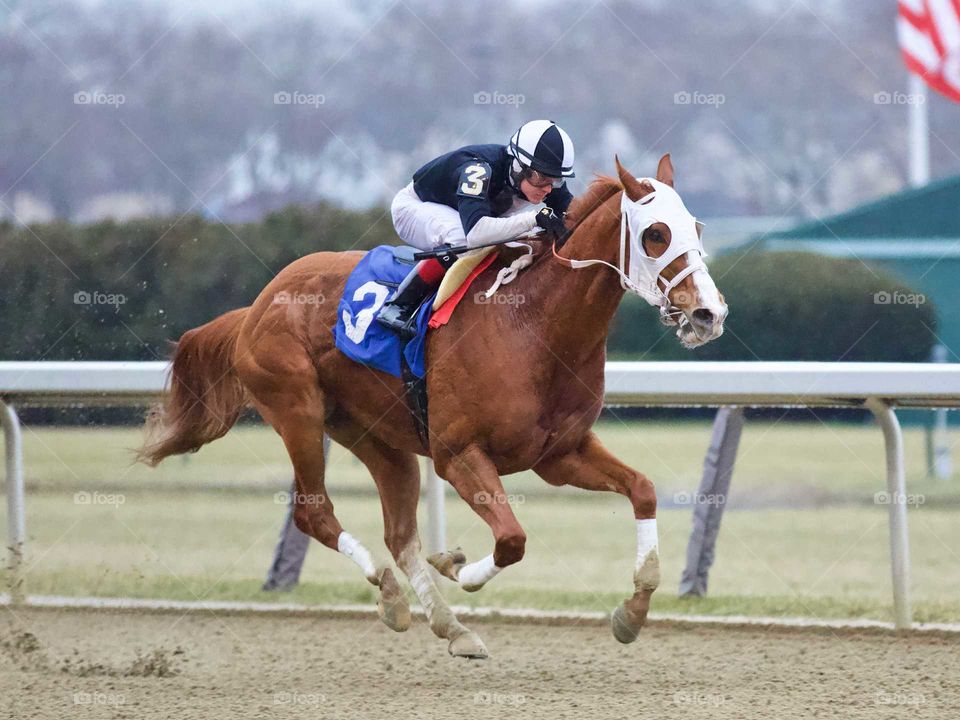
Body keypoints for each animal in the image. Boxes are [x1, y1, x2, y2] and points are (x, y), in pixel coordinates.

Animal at [137, 154, 728, 658]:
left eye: (697, 228)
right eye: (655, 234)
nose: (708, 313)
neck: (533, 326)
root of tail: (255, 306)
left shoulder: (560, 454)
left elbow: (643, 490)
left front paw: (634, 610)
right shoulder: (458, 454)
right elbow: (512, 540)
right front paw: (456, 567)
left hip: (376, 439)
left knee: (399, 535)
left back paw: (450, 626)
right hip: (297, 411)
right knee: (315, 511)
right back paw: (391, 595)